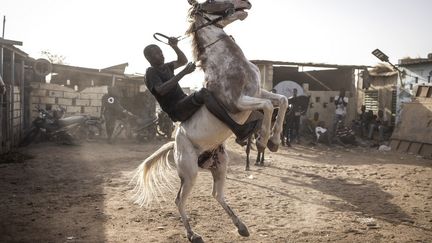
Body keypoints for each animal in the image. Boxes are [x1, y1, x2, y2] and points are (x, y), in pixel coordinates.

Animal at [132, 0, 286, 242]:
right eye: (211, 2)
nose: (246, 3)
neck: (229, 64)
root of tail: (174, 143)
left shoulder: (257, 92)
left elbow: (283, 101)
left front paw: (274, 141)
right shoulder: (237, 102)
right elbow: (269, 107)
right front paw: (263, 140)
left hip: (220, 165)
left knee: (217, 194)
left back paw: (241, 226)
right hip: (189, 173)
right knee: (179, 200)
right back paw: (193, 234)